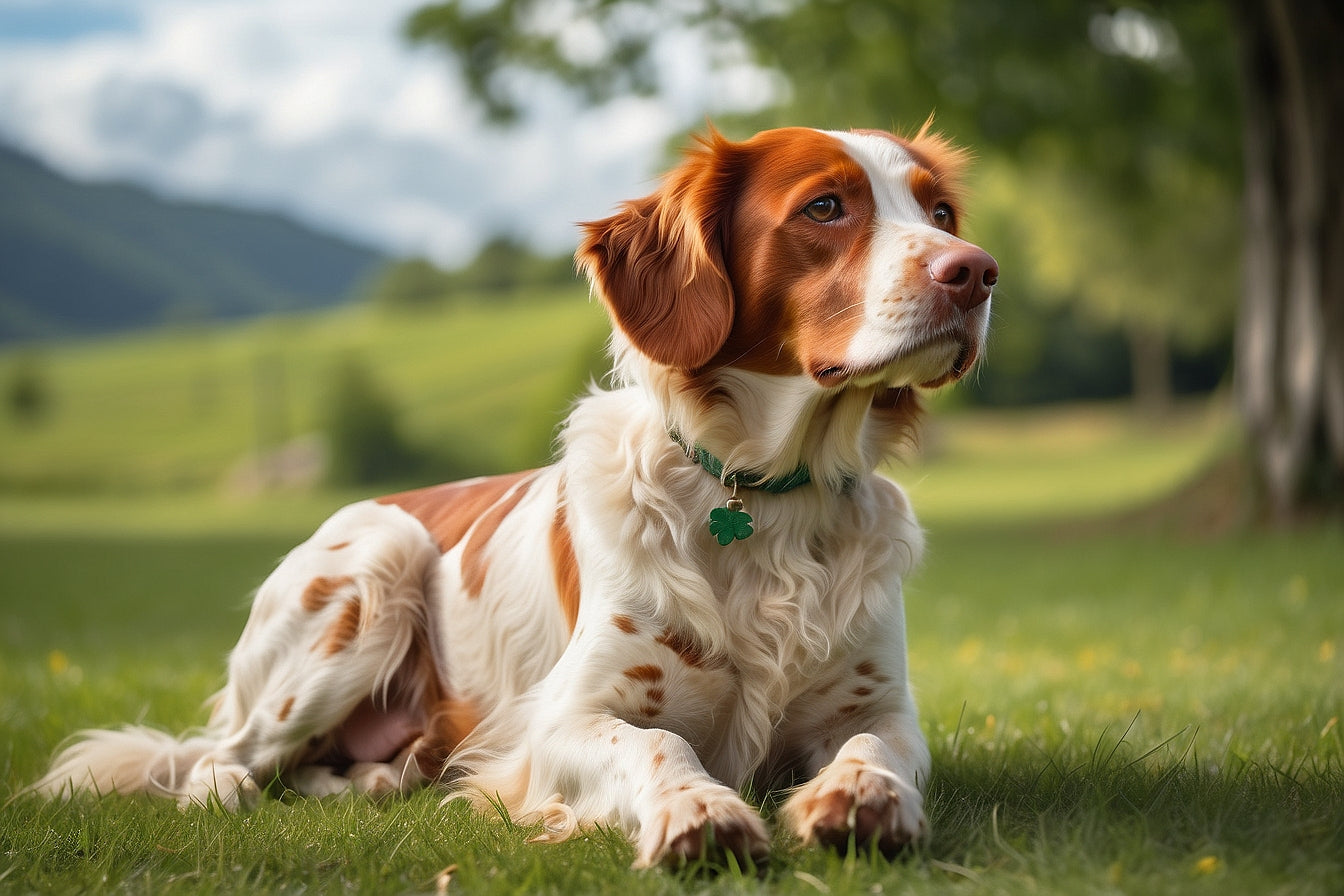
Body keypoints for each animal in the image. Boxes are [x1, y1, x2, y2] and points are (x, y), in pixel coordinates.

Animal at [34, 120, 999, 870]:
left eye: (940, 213)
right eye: (825, 207)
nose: (978, 271)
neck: (766, 500)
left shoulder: (877, 704)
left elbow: (873, 746)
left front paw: (861, 800)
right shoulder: (565, 717)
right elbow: (659, 742)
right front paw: (699, 811)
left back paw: (379, 778)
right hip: (367, 576)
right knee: (219, 755)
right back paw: (230, 792)